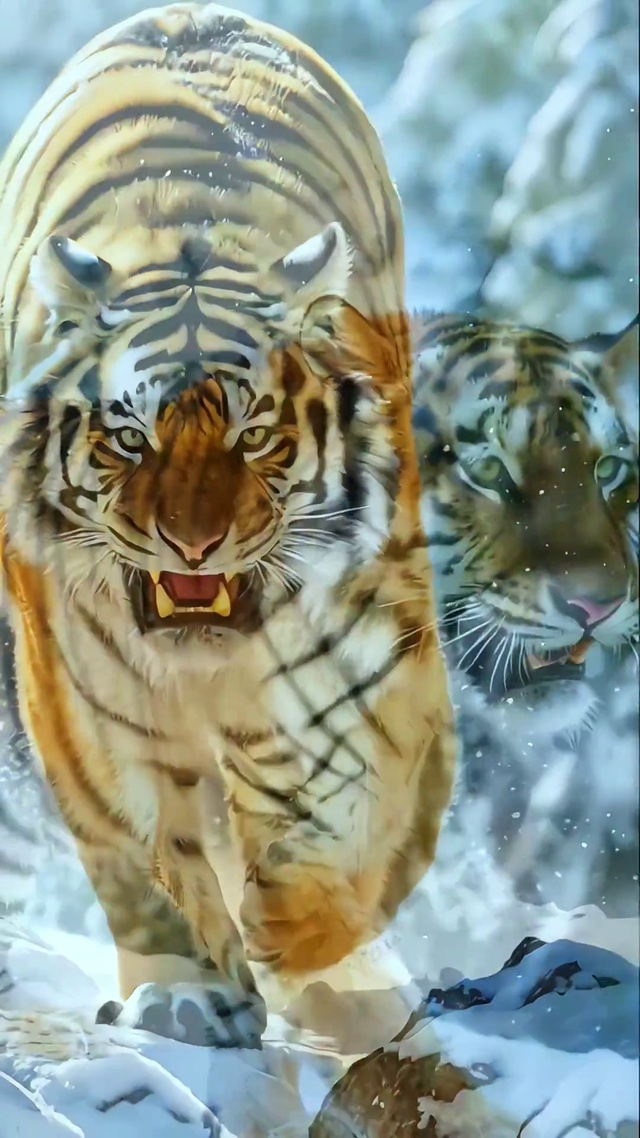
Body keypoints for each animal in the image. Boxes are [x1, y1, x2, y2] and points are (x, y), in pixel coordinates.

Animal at [0, 3, 454, 1049]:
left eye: (253, 434)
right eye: (129, 435)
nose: (193, 546)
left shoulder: (358, 647)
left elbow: (349, 803)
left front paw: (304, 937)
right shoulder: (80, 684)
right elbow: (139, 839)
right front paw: (189, 989)